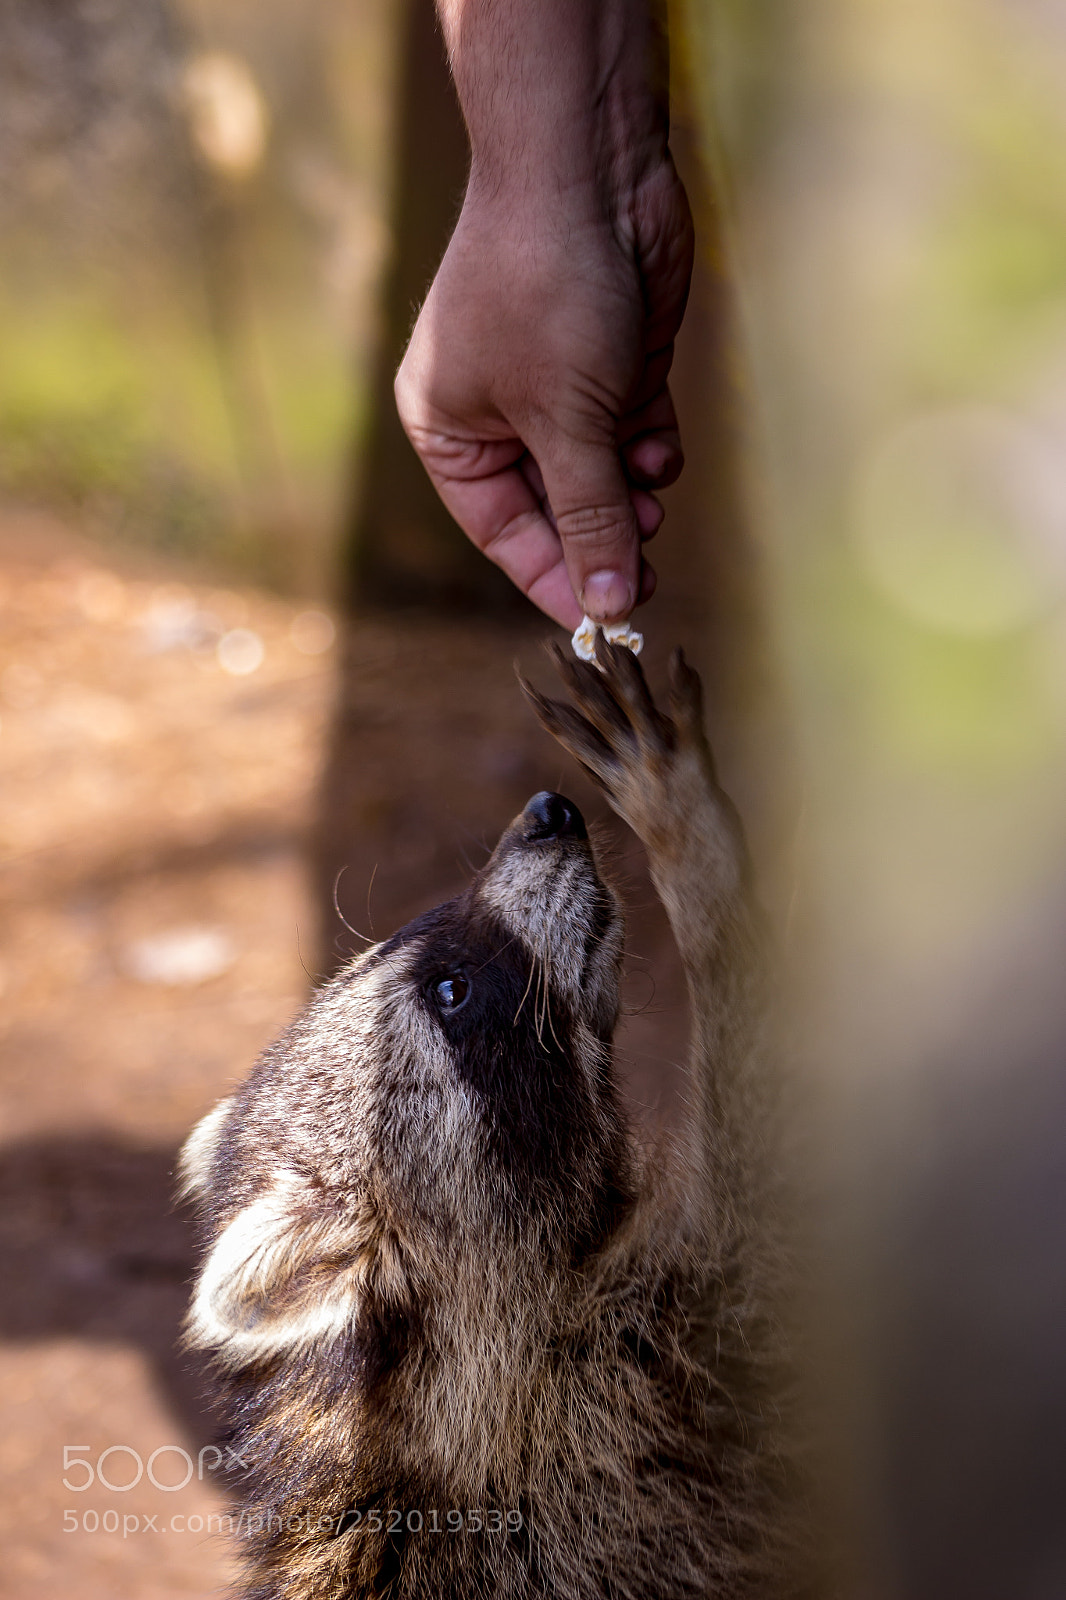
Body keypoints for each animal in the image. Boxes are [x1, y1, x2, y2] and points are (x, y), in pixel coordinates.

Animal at [180, 637, 795, 1599]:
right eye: (451, 991)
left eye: (423, 955)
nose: (546, 815)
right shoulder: (636, 1393)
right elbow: (777, 1154)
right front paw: (700, 859)